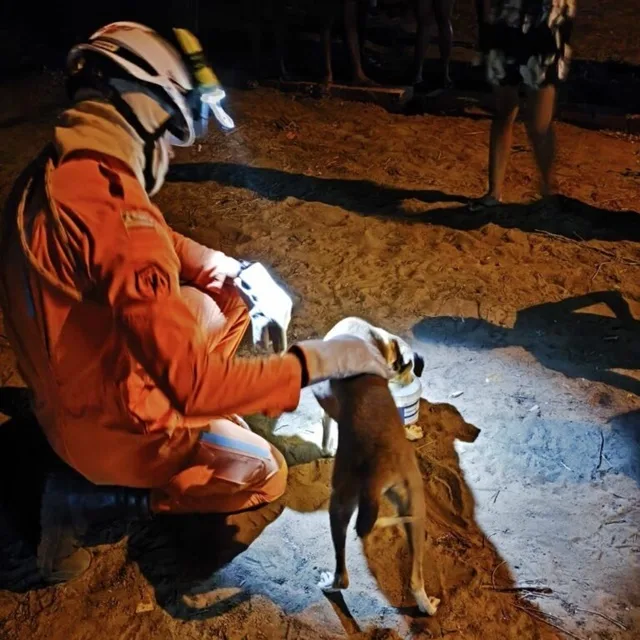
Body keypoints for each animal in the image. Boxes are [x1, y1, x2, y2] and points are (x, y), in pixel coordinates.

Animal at [312, 318, 438, 616]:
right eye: (406, 368)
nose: (409, 380)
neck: (375, 340)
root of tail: (382, 469)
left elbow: (326, 426)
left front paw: (325, 447)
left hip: (340, 500)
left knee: (343, 575)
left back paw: (329, 585)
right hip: (416, 508)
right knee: (416, 579)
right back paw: (427, 605)